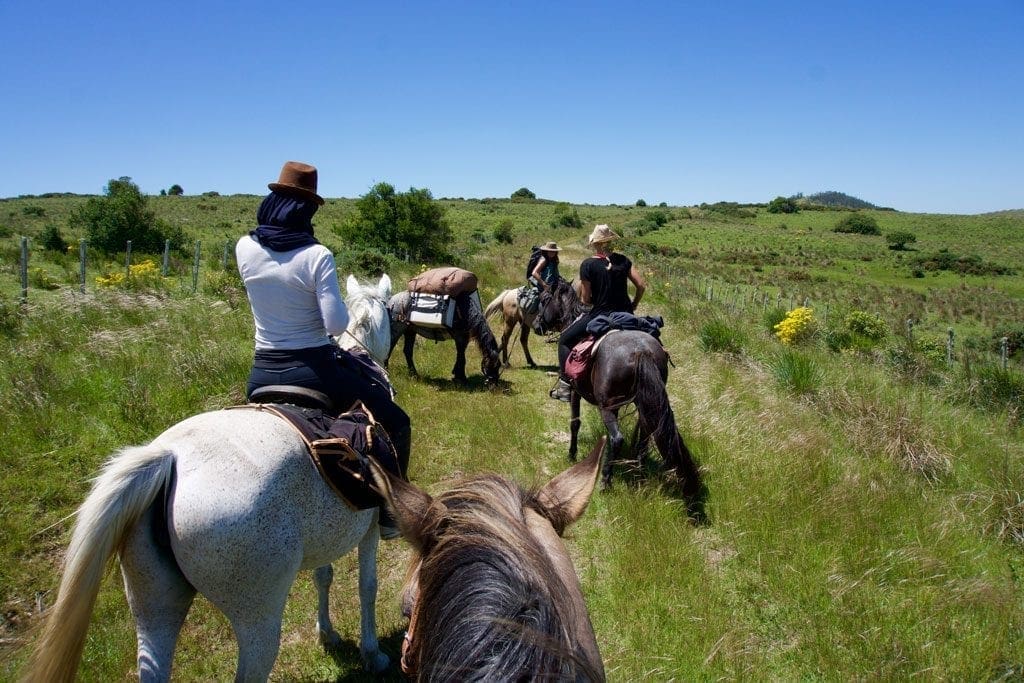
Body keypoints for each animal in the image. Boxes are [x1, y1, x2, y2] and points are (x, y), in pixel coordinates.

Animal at [25, 274, 395, 679]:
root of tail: (169, 458)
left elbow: (323, 576)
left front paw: (326, 633)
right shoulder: (370, 526)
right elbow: (368, 586)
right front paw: (372, 653)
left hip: (153, 602)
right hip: (257, 617)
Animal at [536, 290, 704, 499]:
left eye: (544, 299)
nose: (536, 325)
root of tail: (642, 350)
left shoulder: (576, 391)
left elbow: (575, 423)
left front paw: (571, 454)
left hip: (607, 406)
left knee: (617, 439)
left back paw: (606, 481)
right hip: (645, 405)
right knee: (643, 441)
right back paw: (639, 478)